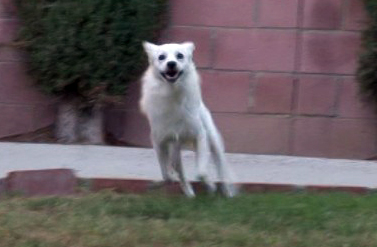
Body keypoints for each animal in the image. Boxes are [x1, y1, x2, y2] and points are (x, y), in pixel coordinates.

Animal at [140, 42, 236, 197]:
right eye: (161, 57)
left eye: (180, 55)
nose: (171, 63)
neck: (172, 92)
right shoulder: (159, 142)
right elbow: (166, 174)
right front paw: (162, 182)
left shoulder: (200, 136)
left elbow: (201, 171)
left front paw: (210, 185)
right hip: (175, 150)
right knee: (177, 170)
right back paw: (187, 190)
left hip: (213, 140)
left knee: (220, 166)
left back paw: (226, 191)